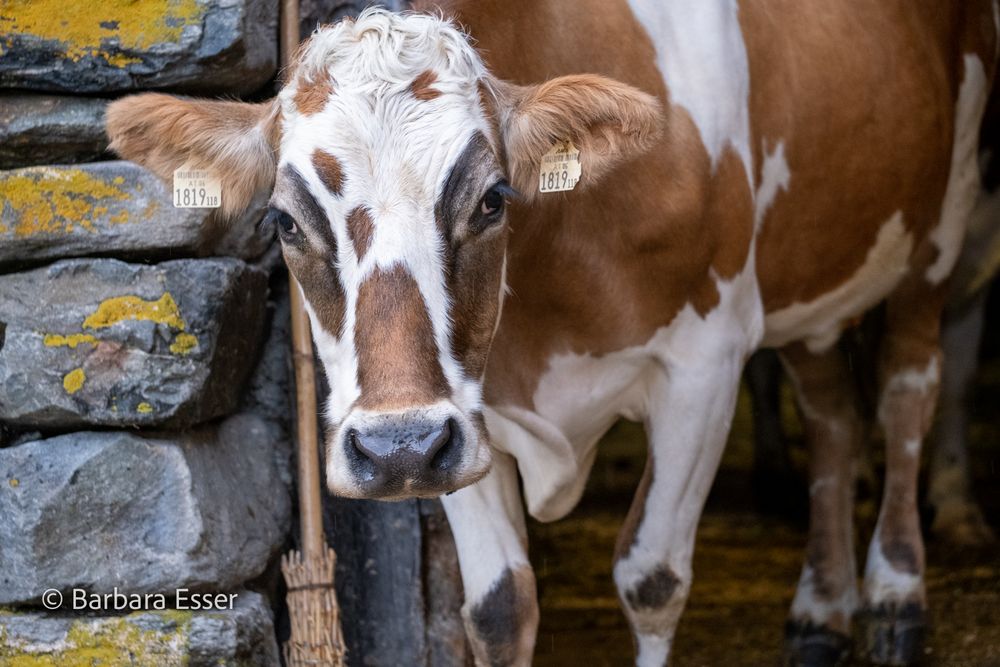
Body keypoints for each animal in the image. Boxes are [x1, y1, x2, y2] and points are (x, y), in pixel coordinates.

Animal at [105, 2, 996, 664]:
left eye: (493, 197)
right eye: (286, 222)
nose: (394, 449)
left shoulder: (705, 364)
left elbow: (651, 578)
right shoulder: (460, 416)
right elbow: (499, 606)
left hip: (941, 230)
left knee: (908, 391)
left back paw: (895, 594)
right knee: (834, 415)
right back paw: (820, 610)